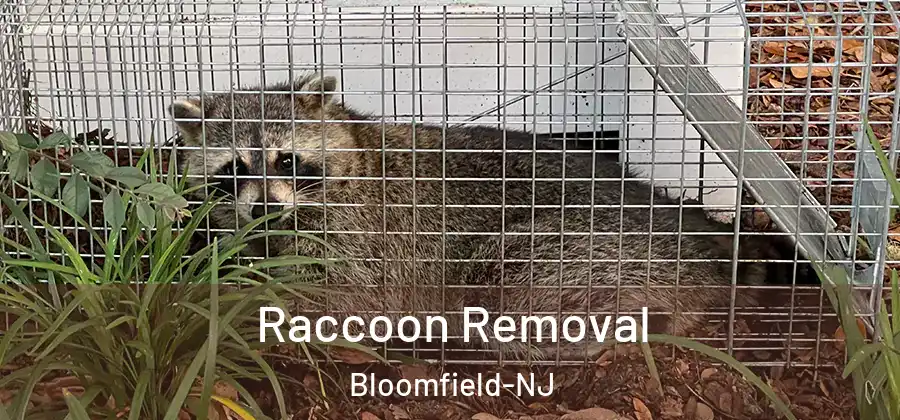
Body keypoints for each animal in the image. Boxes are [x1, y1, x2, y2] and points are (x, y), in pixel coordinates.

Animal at [168, 73, 806, 360]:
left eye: (286, 159)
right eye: (234, 169)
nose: (265, 207)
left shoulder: (364, 236)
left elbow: (341, 295)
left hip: (577, 250)